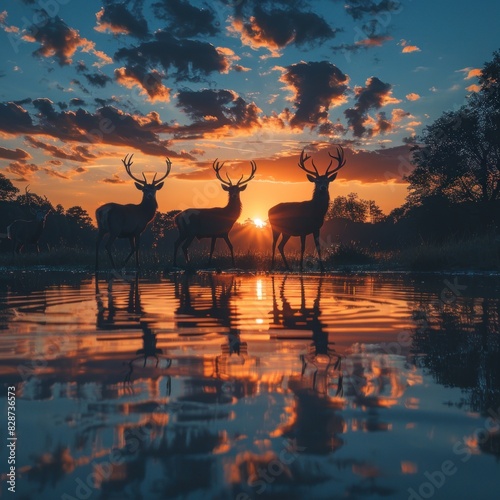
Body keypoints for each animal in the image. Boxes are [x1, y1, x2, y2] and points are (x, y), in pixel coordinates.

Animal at [268, 146, 346, 274]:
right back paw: (272, 266)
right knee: (274, 244)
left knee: (280, 245)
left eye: (327, 181)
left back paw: (288, 267)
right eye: (317, 181)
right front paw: (301, 267)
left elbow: (318, 247)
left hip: (286, 232)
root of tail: (269, 210)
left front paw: (323, 268)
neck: (315, 212)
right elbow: (303, 247)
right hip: (275, 227)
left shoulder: (316, 228)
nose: (323, 187)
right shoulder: (302, 228)